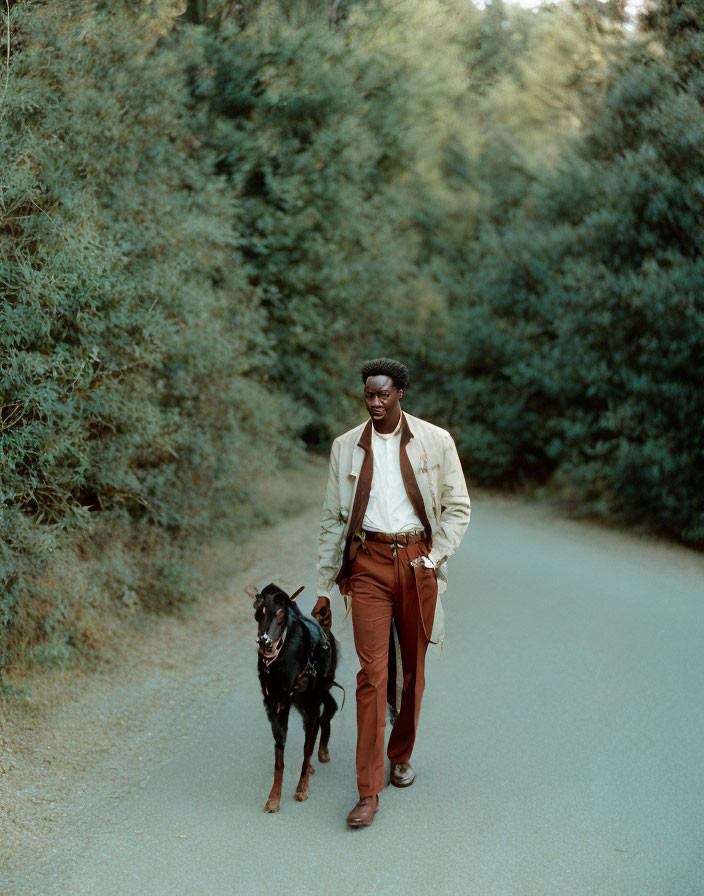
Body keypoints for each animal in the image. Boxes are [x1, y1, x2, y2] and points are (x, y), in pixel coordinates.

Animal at [252, 580, 342, 812]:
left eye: (282, 612)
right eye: (258, 612)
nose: (265, 642)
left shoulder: (310, 704)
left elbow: (306, 747)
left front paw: (301, 789)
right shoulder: (276, 706)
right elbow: (279, 755)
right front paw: (273, 799)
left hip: (316, 694)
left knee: (327, 712)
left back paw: (322, 753)